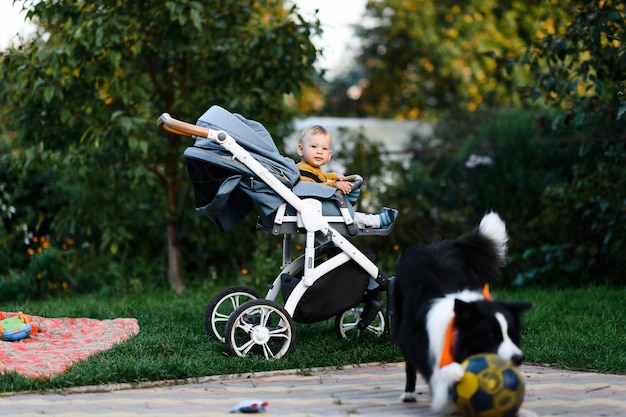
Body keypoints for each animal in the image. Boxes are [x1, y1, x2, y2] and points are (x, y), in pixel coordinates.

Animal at [392, 211, 528, 412]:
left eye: (512, 335)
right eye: (491, 336)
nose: (518, 358)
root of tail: (437, 243)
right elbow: (440, 378)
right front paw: (454, 373)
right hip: (401, 325)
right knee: (410, 362)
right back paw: (408, 393)